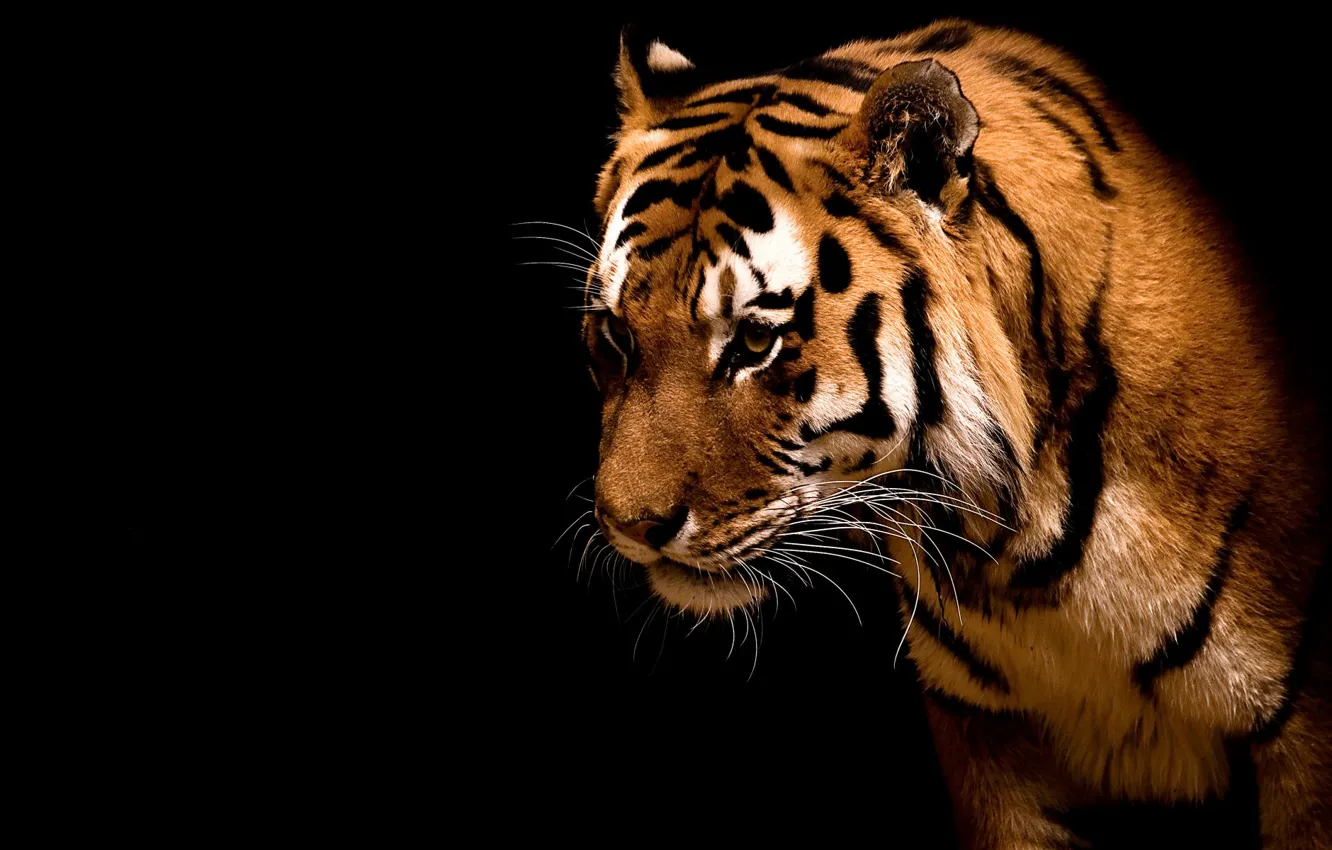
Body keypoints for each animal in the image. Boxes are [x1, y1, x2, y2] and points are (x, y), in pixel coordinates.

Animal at [576, 19, 1329, 848]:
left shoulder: (1304, 732)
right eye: (615, 334)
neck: (1019, 557)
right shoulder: (987, 733)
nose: (631, 526)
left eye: (754, 341)